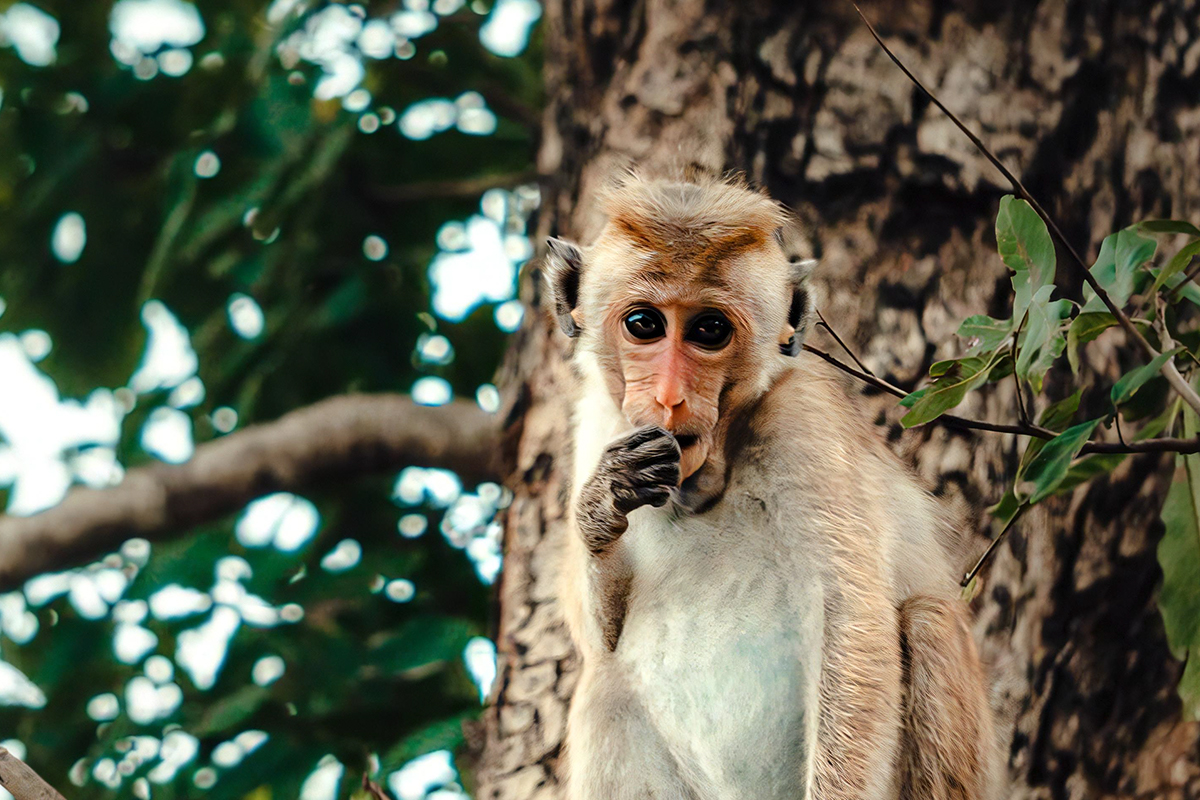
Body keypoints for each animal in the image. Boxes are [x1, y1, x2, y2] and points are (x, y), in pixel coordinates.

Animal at [542, 173, 993, 800]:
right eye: (644, 324)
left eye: (709, 330)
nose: (669, 397)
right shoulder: (598, 422)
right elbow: (598, 641)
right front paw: (603, 500)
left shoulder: (802, 421)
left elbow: (850, 618)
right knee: (604, 689)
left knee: (927, 619)